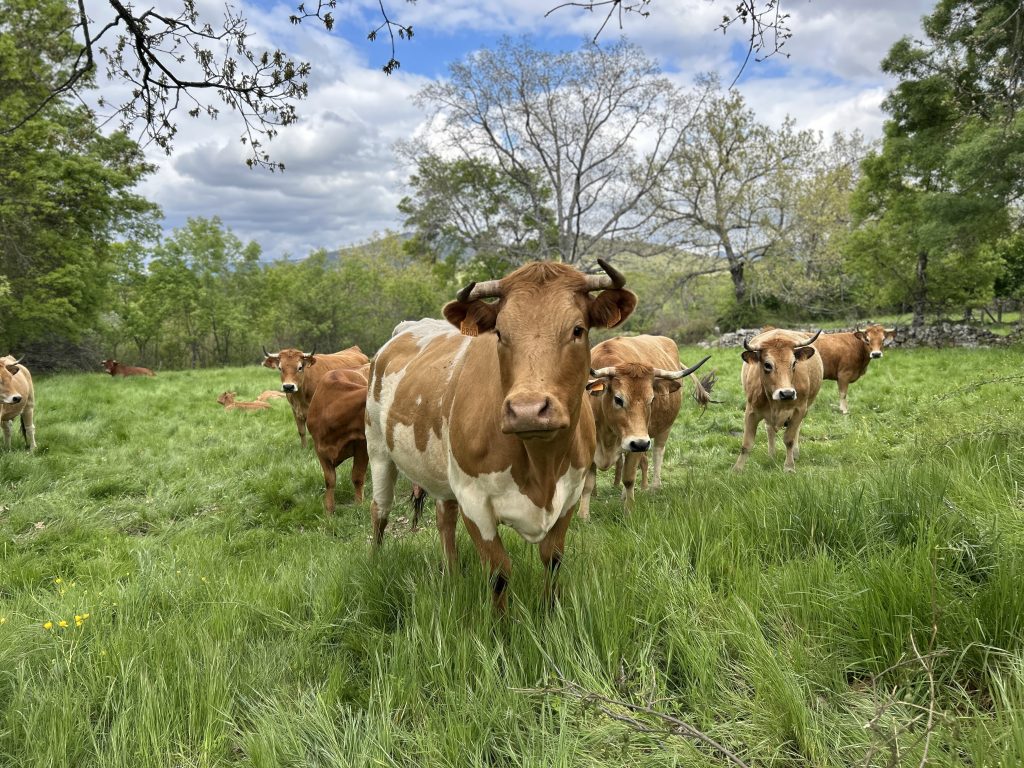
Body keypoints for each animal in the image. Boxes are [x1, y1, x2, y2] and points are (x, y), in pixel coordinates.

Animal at [306, 365, 371, 515]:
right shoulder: (319, 448)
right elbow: (330, 480)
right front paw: (329, 510)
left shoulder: (362, 445)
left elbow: (357, 476)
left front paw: (358, 506)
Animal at [365, 260, 636, 611]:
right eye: (500, 333)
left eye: (578, 330)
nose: (527, 410)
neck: (541, 465)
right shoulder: (474, 500)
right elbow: (498, 574)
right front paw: (500, 625)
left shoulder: (570, 495)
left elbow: (553, 559)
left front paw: (550, 613)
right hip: (377, 450)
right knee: (380, 511)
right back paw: (374, 562)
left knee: (444, 518)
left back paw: (452, 573)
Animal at [579, 335, 712, 517]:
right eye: (618, 399)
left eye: (652, 399)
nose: (640, 443)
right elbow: (587, 484)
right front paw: (583, 516)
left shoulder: (636, 444)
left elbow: (628, 479)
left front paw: (629, 510)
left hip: (663, 429)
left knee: (657, 453)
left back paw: (653, 487)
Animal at [733, 328, 823, 473]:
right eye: (767, 365)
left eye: (794, 363)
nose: (787, 393)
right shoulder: (751, 411)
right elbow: (746, 444)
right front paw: (737, 469)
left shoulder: (799, 409)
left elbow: (789, 439)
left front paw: (789, 467)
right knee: (769, 429)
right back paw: (771, 455)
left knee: (796, 430)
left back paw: (795, 454)